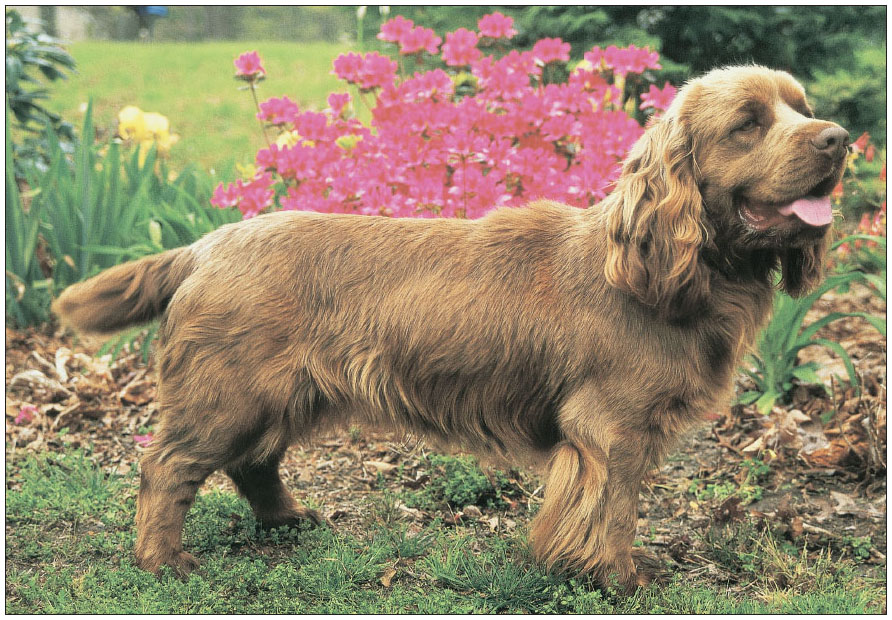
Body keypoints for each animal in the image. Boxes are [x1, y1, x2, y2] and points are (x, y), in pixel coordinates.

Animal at [52, 64, 848, 592]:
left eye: (801, 107)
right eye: (748, 123)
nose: (841, 139)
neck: (673, 272)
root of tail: (205, 243)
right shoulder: (610, 428)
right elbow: (612, 510)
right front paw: (618, 578)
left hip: (282, 392)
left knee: (254, 462)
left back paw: (290, 521)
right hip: (228, 393)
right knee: (166, 468)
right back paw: (163, 562)